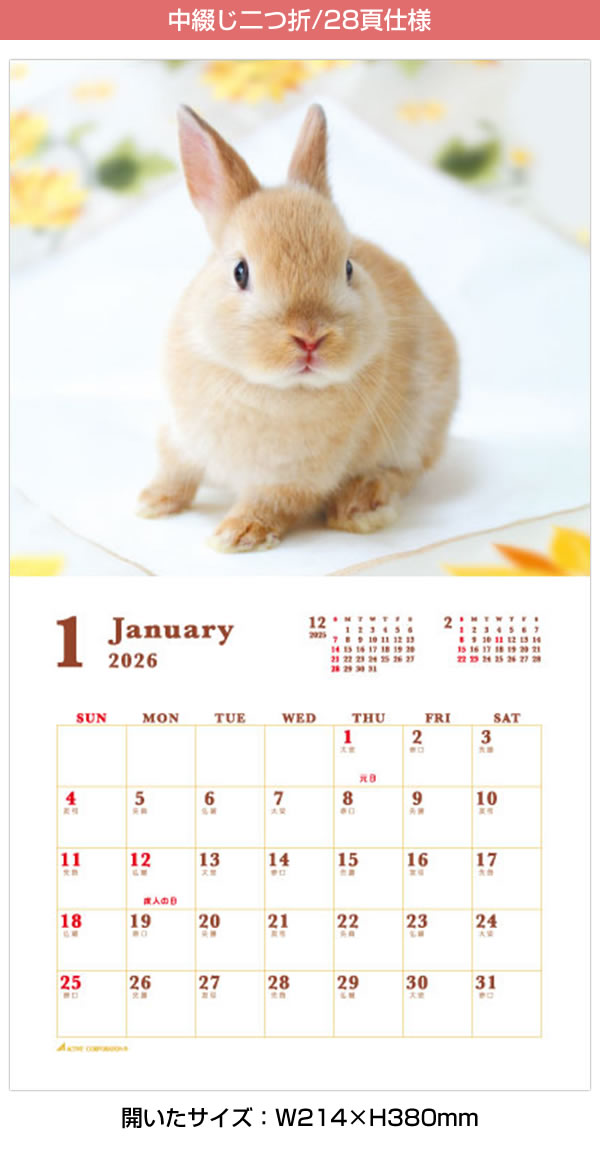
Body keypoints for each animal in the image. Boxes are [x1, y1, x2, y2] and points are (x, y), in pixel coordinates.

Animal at [137, 103, 459, 552]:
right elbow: (175, 472)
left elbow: (269, 504)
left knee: (404, 473)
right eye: (240, 271)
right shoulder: (180, 438)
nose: (310, 338)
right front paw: (152, 504)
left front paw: (236, 535)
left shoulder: (290, 478)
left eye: (348, 268)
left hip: (419, 428)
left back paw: (358, 506)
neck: (266, 387)